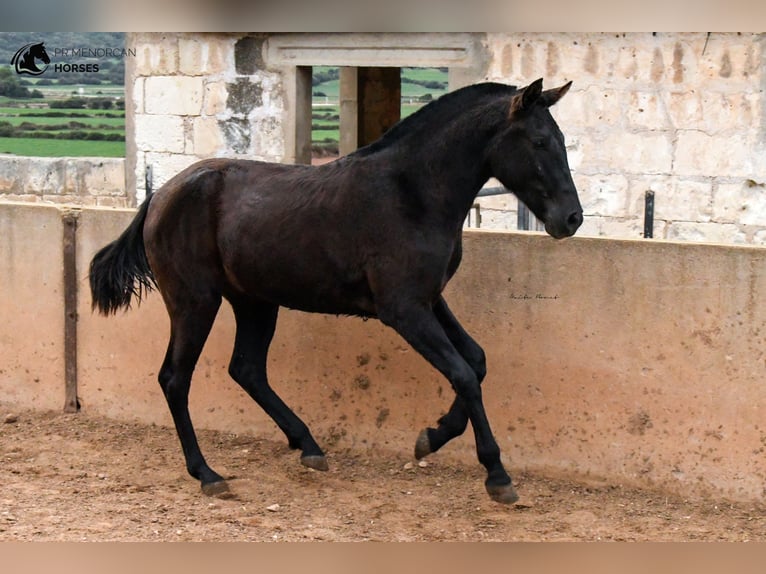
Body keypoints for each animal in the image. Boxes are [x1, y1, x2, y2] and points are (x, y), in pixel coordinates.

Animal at [90, 77, 584, 504]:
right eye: (540, 142)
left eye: (561, 138)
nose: (572, 219)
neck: (413, 193)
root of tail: (159, 196)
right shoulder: (403, 309)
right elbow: (462, 372)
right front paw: (495, 474)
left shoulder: (429, 299)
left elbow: (476, 361)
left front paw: (432, 436)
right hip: (195, 302)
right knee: (175, 378)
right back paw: (207, 474)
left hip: (254, 302)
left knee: (246, 369)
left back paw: (308, 446)